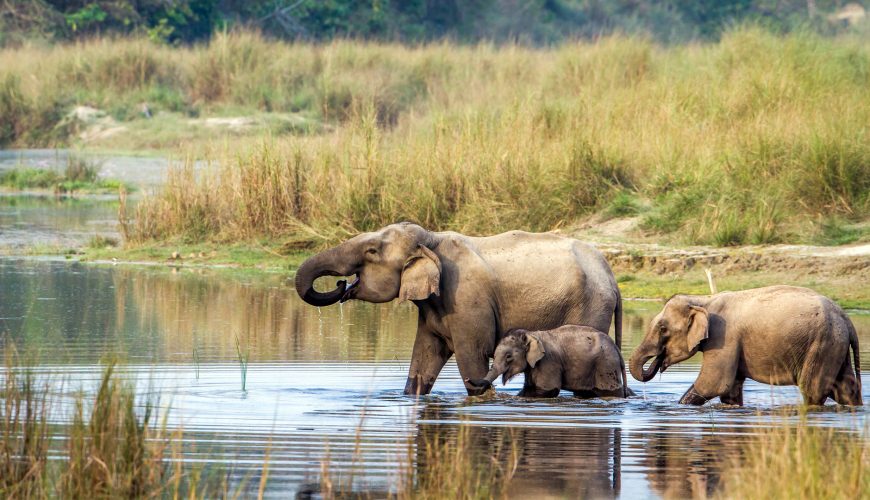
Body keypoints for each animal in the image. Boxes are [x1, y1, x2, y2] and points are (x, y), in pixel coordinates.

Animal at [466, 324, 632, 398]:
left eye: (508, 357)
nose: (467, 378)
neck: (531, 334)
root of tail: (617, 349)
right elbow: (527, 389)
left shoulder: (548, 362)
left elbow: (547, 390)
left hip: (606, 366)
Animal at [628, 286, 864, 406]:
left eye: (662, 329)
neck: (704, 300)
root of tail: (847, 319)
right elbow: (730, 391)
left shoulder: (724, 338)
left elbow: (712, 384)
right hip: (835, 346)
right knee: (845, 389)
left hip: (822, 344)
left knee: (813, 391)